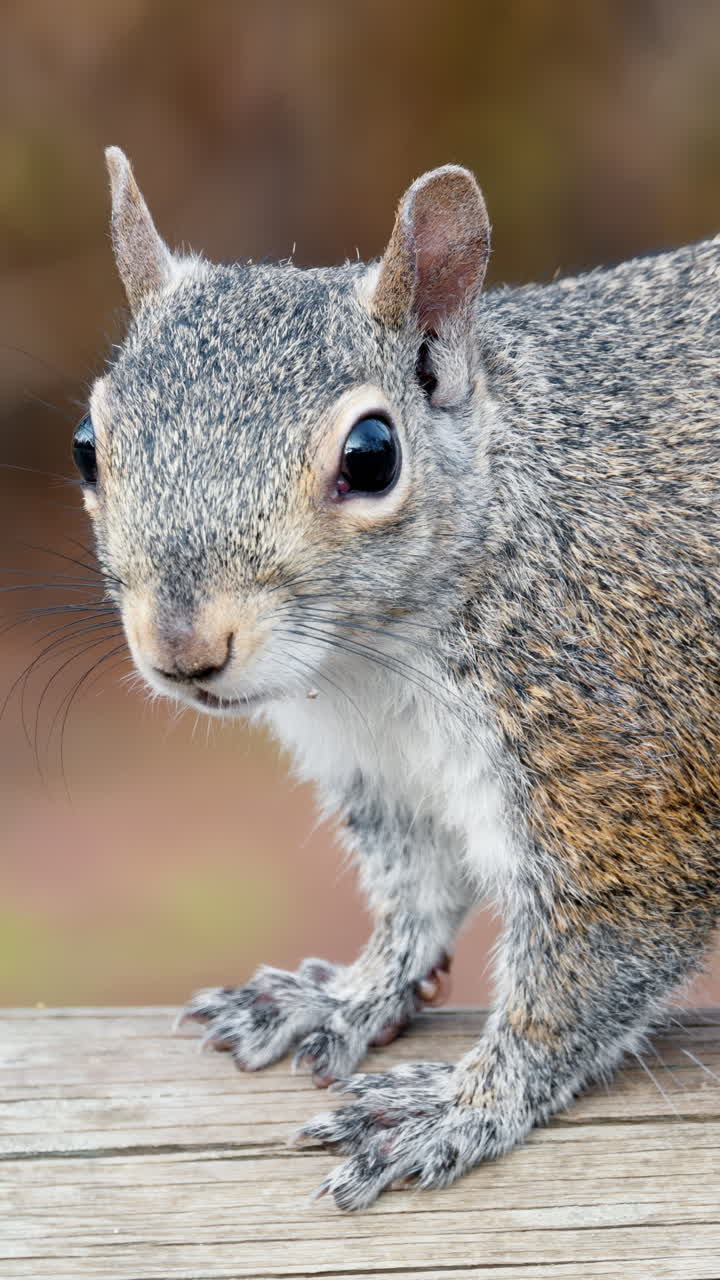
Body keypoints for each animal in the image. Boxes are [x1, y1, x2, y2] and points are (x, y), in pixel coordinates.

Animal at [74, 146, 719, 1210]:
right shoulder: (386, 776)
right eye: (88, 447)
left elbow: (584, 979)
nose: (183, 650)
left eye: (372, 456)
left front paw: (462, 1103)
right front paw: (345, 995)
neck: (372, 666)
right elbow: (414, 901)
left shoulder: (620, 781)